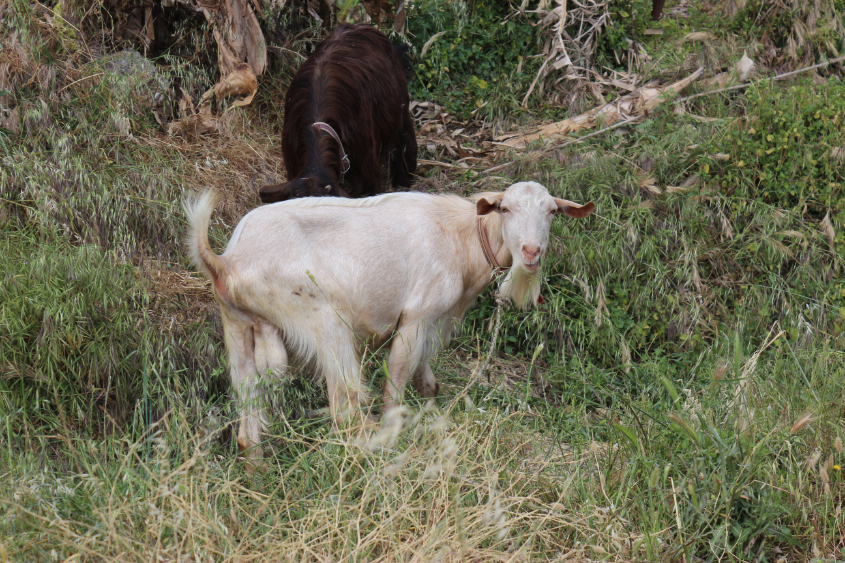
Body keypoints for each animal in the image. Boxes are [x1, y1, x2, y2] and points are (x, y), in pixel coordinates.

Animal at [185, 182, 594, 468]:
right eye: (506, 208)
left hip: (238, 328)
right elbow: (395, 384)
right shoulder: (416, 317)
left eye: (552, 212)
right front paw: (396, 434)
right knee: (345, 407)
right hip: (322, 319)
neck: (461, 237)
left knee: (247, 420)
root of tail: (226, 261)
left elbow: (427, 379)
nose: (531, 252)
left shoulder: (435, 323)